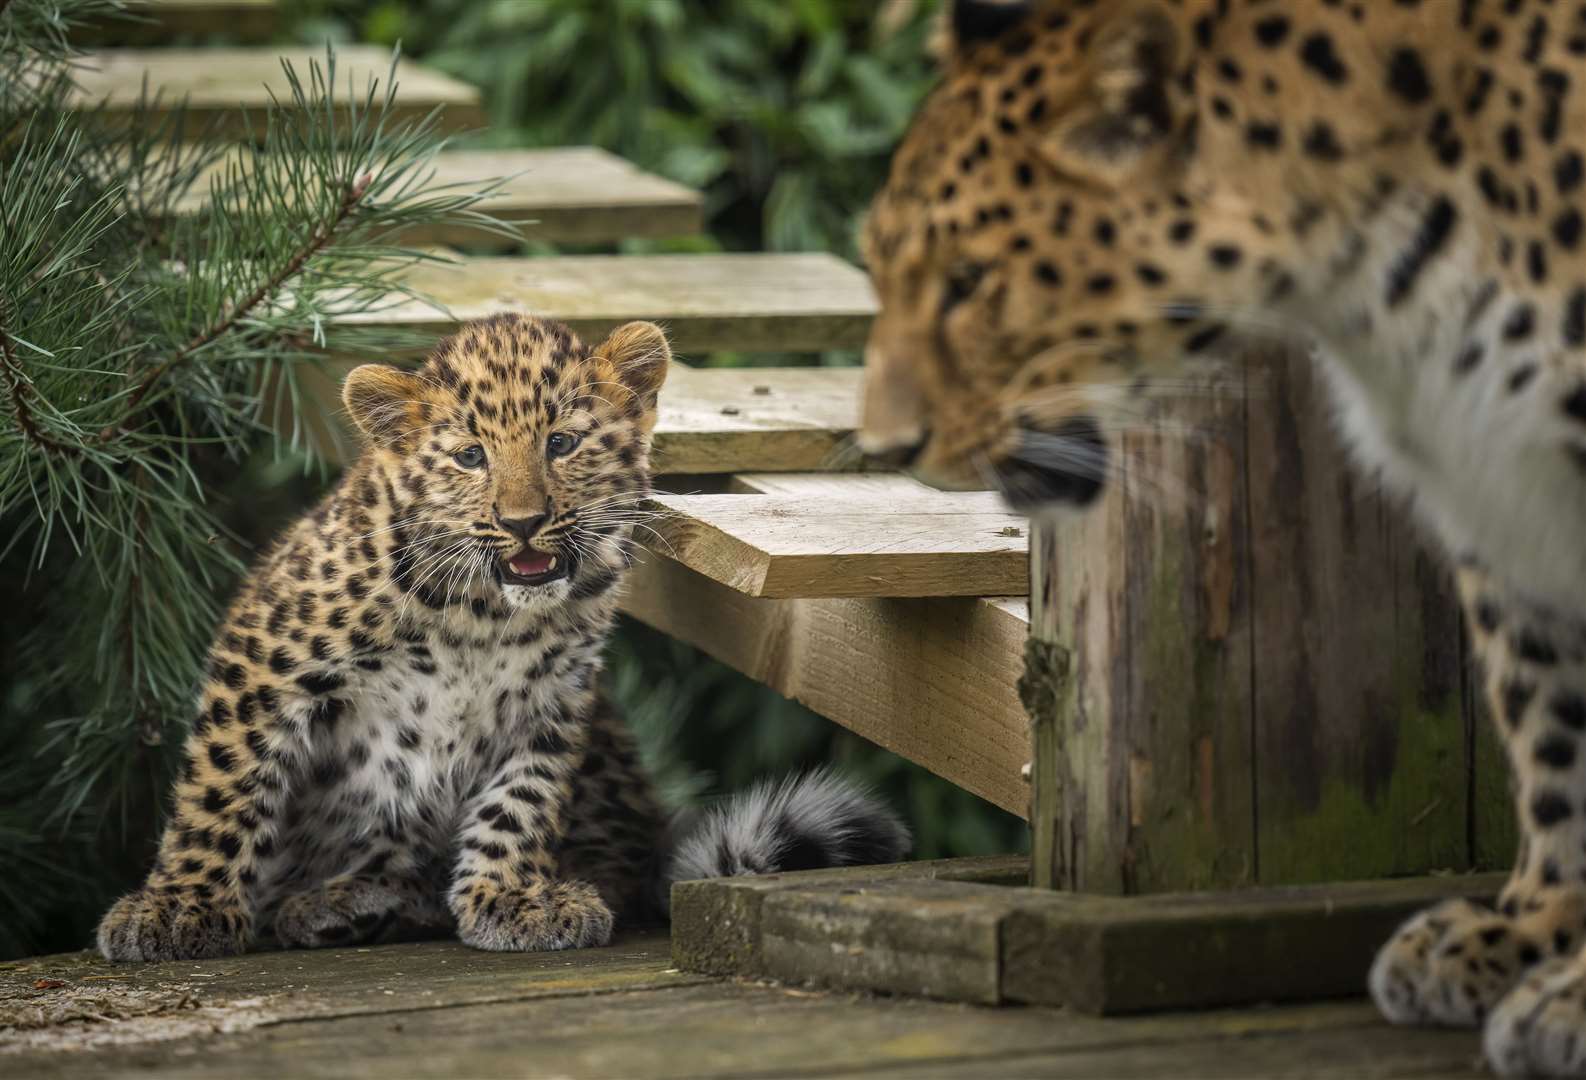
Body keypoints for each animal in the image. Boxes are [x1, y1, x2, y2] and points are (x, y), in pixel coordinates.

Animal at [862, 2, 1586, 1078]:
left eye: (969, 280)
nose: (882, 447)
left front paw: (1569, 990)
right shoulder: (1505, 505)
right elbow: (1552, 731)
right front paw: (1533, 932)